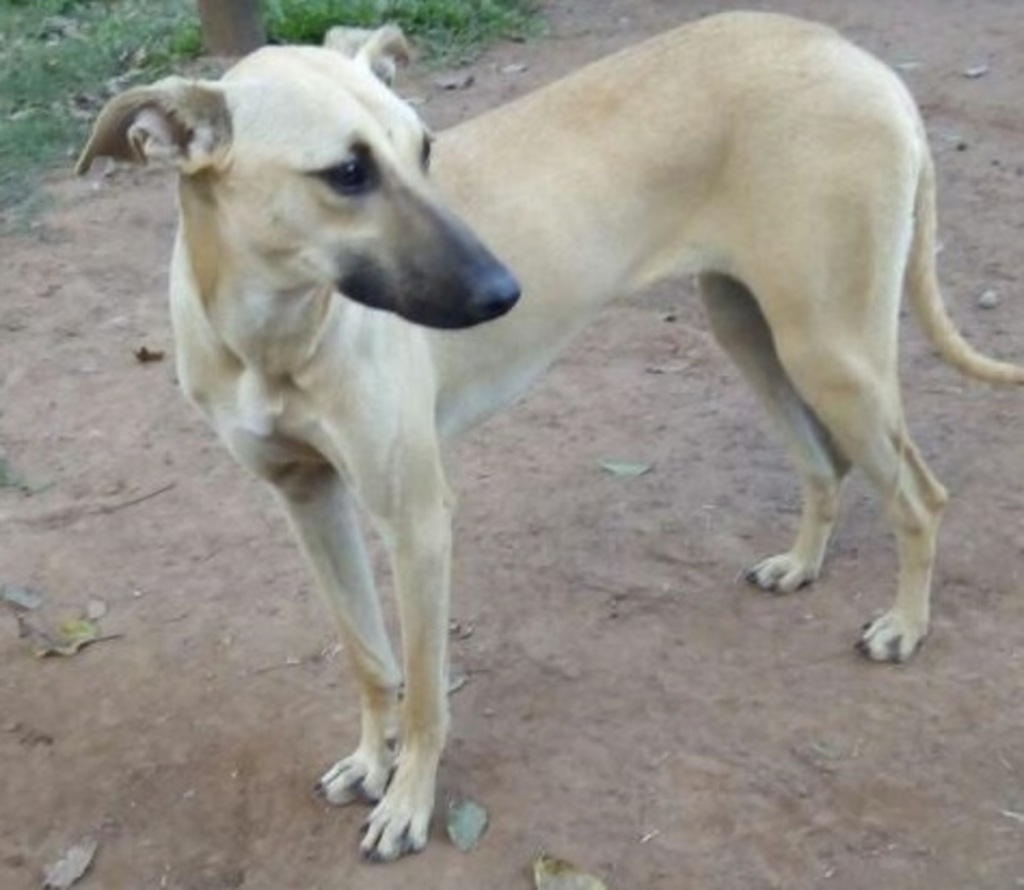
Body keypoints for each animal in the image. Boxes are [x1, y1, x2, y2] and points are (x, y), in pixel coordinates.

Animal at [79, 10, 1024, 860]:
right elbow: (368, 657)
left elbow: (425, 692)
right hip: (750, 327)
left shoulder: (417, 521)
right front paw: (371, 762)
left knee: (921, 496)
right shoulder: (308, 500)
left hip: (830, 349)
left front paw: (410, 802)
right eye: (346, 173)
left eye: (426, 148)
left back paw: (905, 626)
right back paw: (802, 564)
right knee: (824, 464)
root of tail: (857, 57)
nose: (506, 292)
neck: (274, 336)